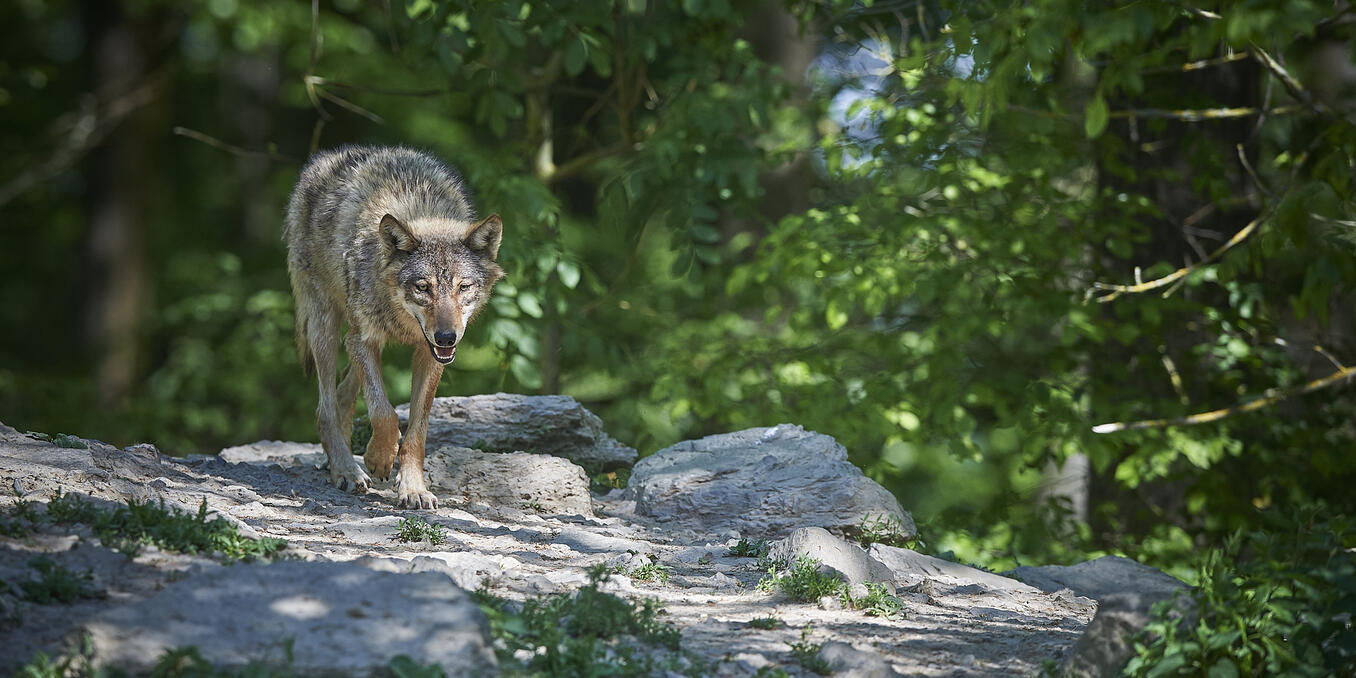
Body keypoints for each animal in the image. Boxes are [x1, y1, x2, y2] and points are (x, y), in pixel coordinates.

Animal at [283, 145, 504, 509]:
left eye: (463, 287)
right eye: (423, 287)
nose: (447, 336)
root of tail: (325, 157)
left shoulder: (429, 356)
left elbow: (416, 431)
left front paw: (413, 488)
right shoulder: (364, 340)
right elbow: (384, 413)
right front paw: (378, 459)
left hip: (355, 341)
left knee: (343, 397)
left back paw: (339, 461)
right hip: (327, 327)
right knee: (325, 407)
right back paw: (345, 470)